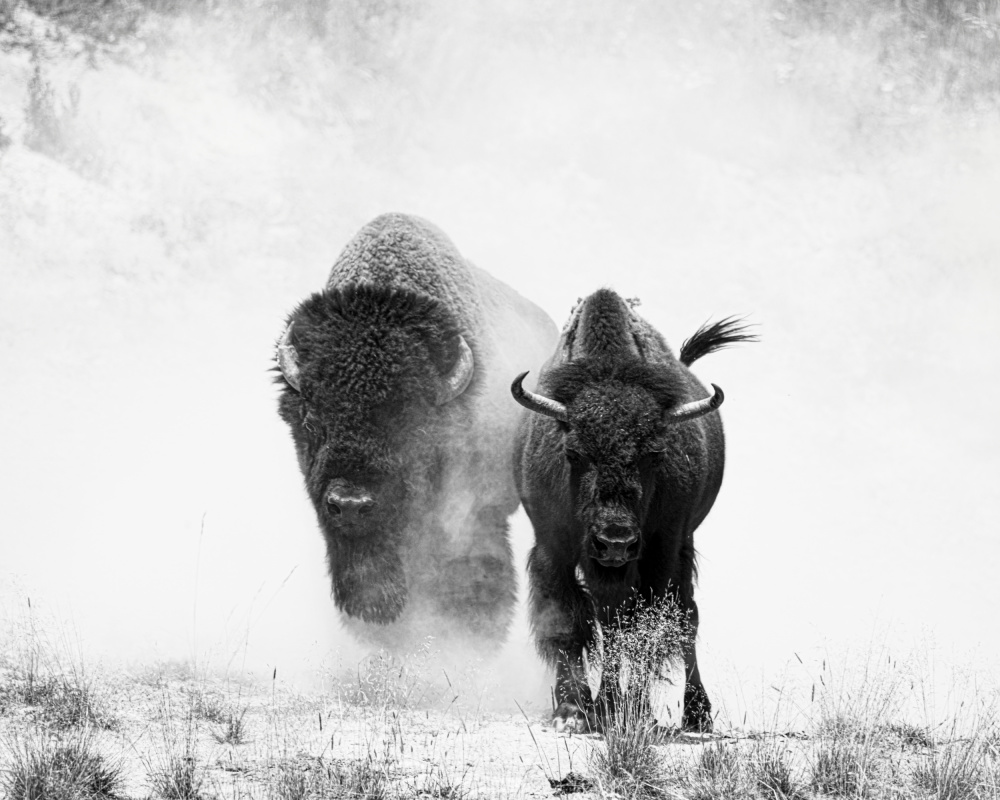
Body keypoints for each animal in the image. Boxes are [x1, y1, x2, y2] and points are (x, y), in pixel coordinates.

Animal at [511, 288, 753, 731]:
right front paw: (573, 711)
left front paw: (633, 712)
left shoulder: (661, 551)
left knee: (685, 619)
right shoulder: (554, 547)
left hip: (679, 551)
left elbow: (643, 629)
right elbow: (569, 623)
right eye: (573, 452)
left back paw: (696, 713)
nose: (615, 541)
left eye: (655, 453)